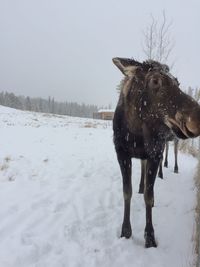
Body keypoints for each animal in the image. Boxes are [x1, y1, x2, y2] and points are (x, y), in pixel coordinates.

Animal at [112, 57, 200, 249]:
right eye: (155, 81)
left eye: (178, 82)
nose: (196, 118)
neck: (136, 131)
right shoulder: (121, 152)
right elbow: (127, 192)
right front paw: (126, 231)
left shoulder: (154, 152)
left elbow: (149, 195)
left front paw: (150, 237)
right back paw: (141, 184)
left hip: (169, 140)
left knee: (170, 154)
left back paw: (170, 169)